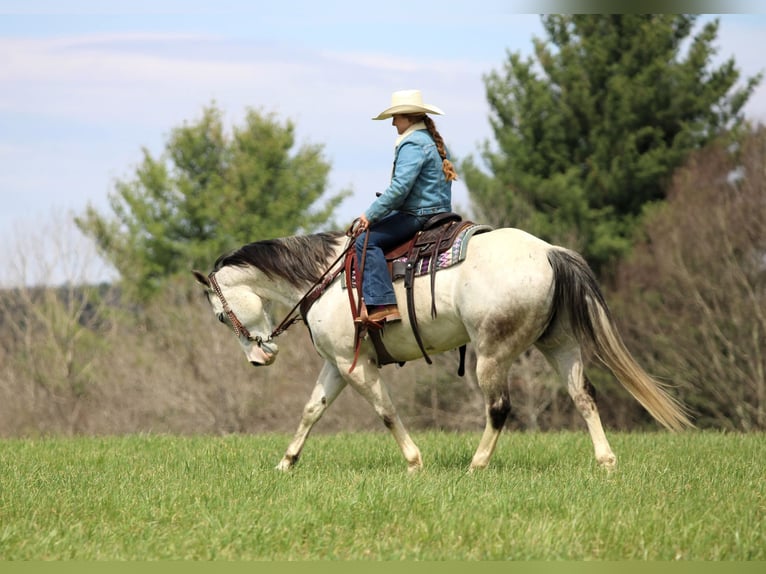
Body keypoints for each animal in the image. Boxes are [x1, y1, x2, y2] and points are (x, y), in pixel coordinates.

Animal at [193, 226, 693, 472]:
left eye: (218, 316)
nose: (260, 358)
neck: (326, 278)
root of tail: (549, 251)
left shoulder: (357, 368)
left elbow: (386, 412)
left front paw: (415, 463)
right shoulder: (338, 365)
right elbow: (311, 411)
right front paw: (286, 463)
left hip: (492, 354)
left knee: (499, 409)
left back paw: (476, 465)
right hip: (559, 344)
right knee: (583, 396)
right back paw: (606, 462)